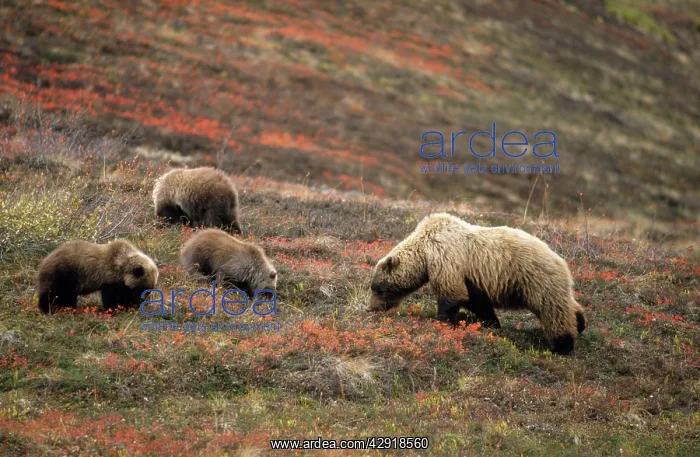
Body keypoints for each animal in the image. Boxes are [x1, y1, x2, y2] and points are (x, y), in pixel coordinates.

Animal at [367, 212, 586, 355]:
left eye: (378, 288)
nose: (371, 309)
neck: (424, 252)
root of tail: (562, 261)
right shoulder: (469, 278)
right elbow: (476, 301)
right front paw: (491, 323)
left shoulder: (446, 259)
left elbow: (452, 295)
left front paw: (443, 322)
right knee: (566, 305)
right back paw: (581, 322)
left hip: (536, 280)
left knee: (553, 312)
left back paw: (563, 345)